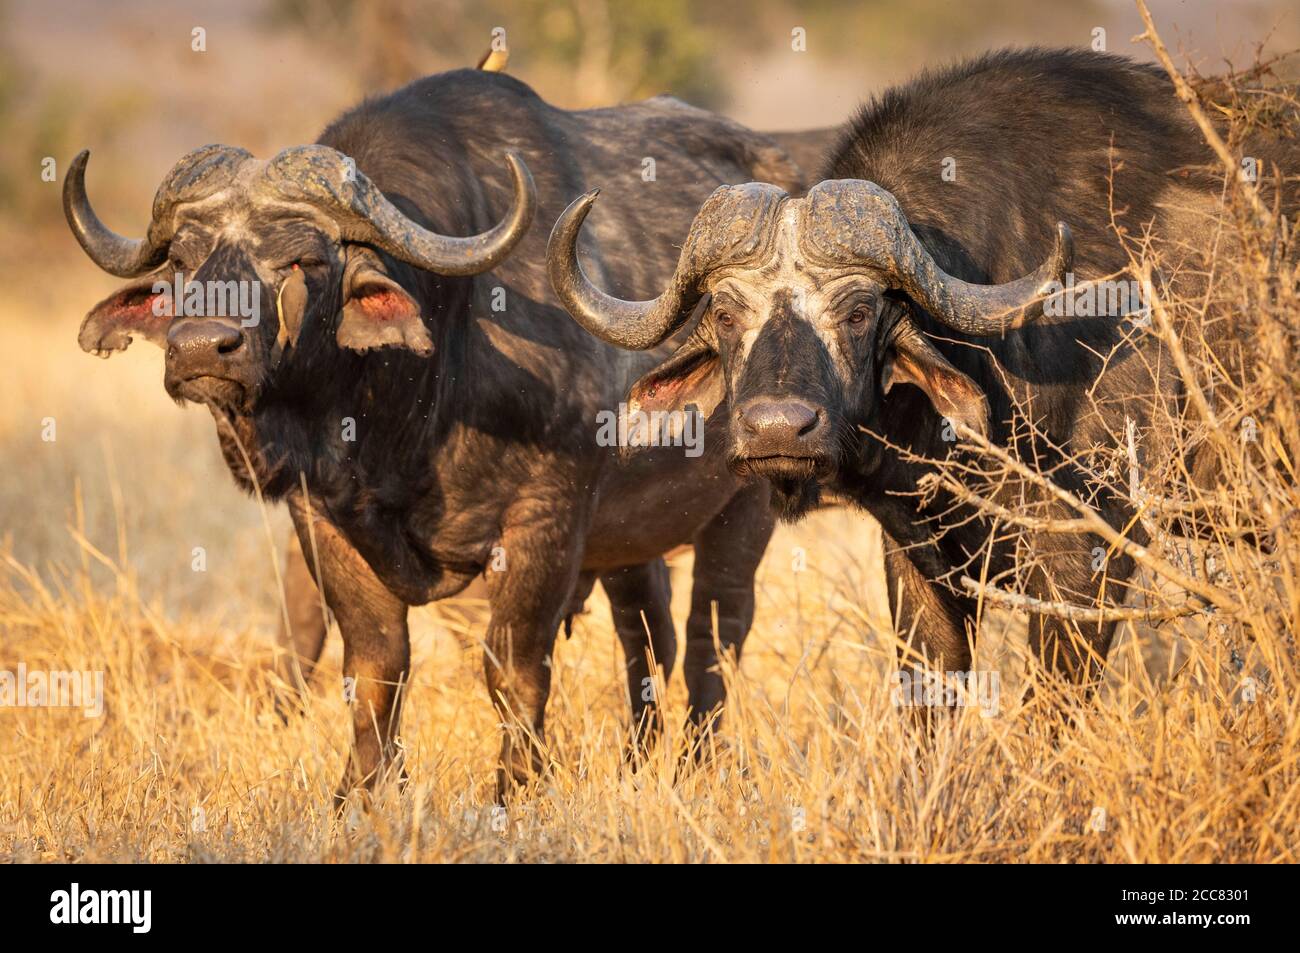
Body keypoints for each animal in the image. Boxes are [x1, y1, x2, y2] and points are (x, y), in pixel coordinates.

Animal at [63, 65, 821, 795]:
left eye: (302, 260)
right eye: (181, 262)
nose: (200, 348)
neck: (409, 411)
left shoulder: (545, 520)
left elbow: (513, 667)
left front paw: (515, 790)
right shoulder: (322, 520)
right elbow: (375, 665)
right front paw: (360, 795)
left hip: (743, 508)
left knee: (712, 637)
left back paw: (698, 766)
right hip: (633, 541)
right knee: (648, 635)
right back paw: (639, 765)